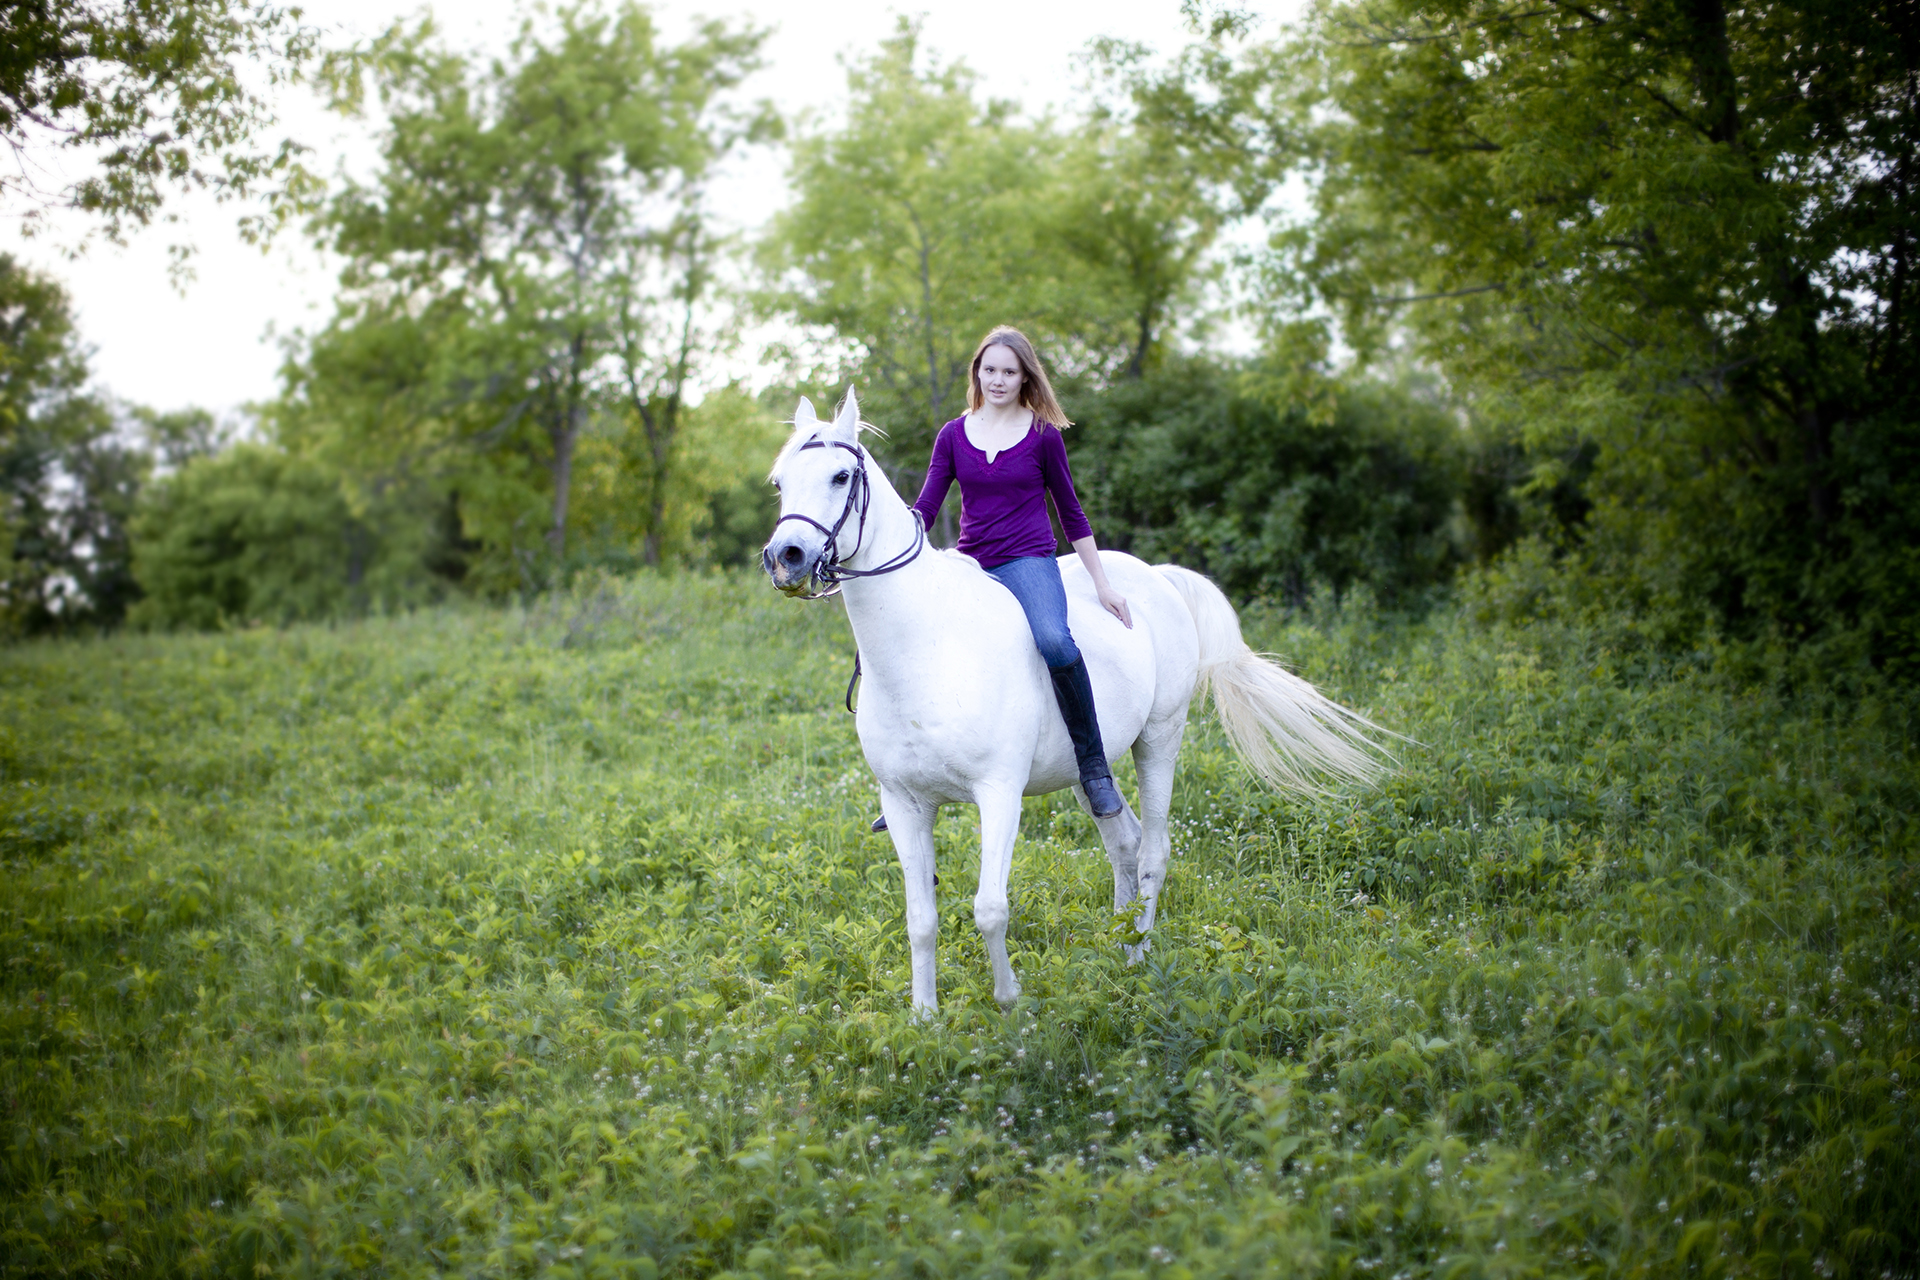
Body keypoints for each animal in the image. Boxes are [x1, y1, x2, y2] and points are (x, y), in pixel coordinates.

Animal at [760, 391, 1382, 1013]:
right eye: (780, 482)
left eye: (841, 476)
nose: (785, 557)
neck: (929, 649)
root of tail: (1157, 578)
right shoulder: (905, 804)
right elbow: (920, 919)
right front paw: (924, 1017)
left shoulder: (998, 795)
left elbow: (990, 909)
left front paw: (1010, 1006)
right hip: (1090, 768)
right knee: (1123, 839)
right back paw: (1119, 939)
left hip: (1161, 739)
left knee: (1153, 850)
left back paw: (1139, 958)